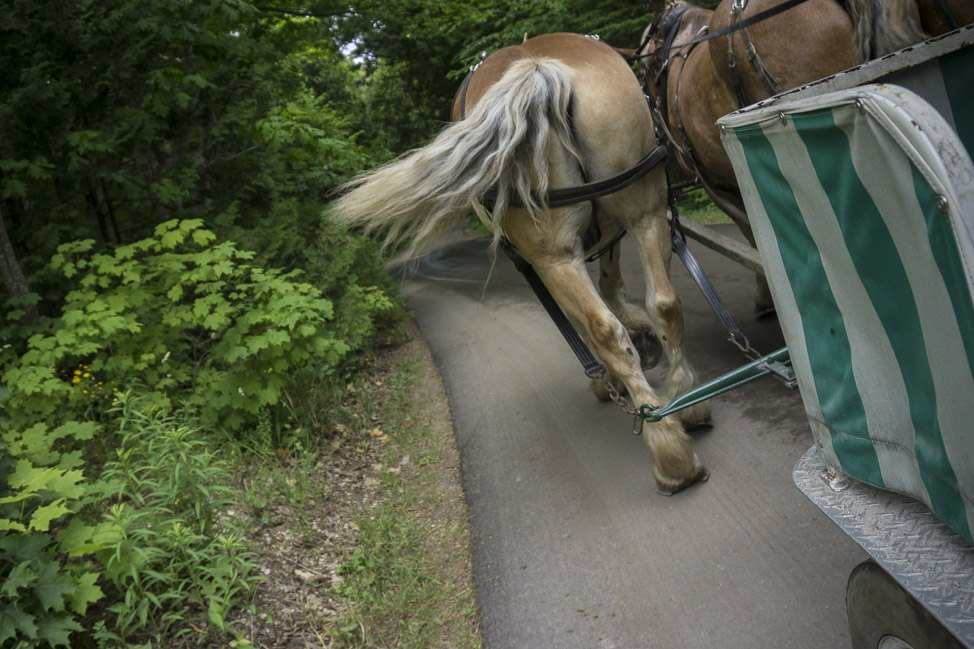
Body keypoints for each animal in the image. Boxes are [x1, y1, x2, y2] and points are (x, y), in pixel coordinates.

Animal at [332, 33, 712, 494]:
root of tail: (538, 69)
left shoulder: (549, 259)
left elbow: (586, 316)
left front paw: (610, 374)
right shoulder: (605, 233)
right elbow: (612, 283)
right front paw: (637, 336)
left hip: (553, 255)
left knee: (605, 328)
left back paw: (669, 451)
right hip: (645, 213)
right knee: (665, 303)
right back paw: (687, 403)